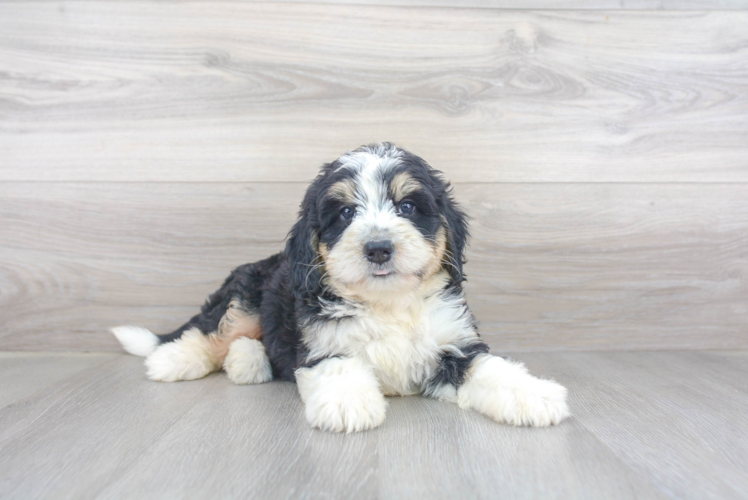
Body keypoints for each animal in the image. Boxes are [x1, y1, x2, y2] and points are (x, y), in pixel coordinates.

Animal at [111, 143, 568, 432]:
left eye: (407, 206)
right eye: (346, 213)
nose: (379, 248)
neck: (388, 304)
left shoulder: (455, 343)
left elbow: (491, 368)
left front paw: (534, 394)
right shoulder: (323, 342)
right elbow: (341, 365)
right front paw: (349, 404)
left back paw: (248, 363)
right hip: (246, 293)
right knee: (213, 331)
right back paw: (174, 359)